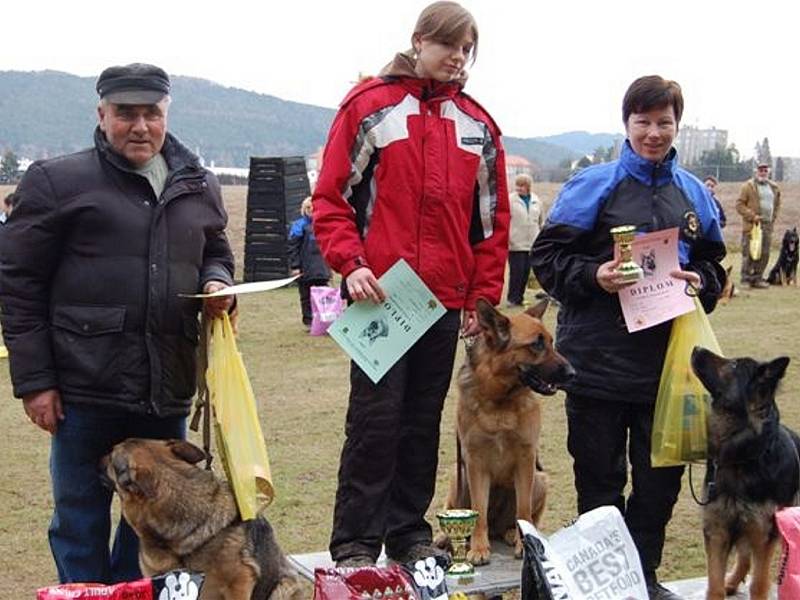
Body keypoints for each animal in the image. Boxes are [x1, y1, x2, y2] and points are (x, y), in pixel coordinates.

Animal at [438, 298, 576, 564]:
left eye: (551, 341)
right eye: (536, 344)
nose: (572, 373)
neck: (500, 400)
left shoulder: (526, 459)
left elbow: (523, 511)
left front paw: (525, 545)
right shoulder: (475, 463)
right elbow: (479, 511)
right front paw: (478, 548)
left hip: (540, 479)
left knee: (520, 518)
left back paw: (512, 534)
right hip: (458, 475)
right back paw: (445, 537)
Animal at [692, 346, 796, 600]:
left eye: (734, 365)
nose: (696, 348)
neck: (743, 459)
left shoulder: (763, 535)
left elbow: (758, 584)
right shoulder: (717, 532)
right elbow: (715, 586)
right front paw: (723, 586)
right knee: (744, 557)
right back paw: (732, 581)